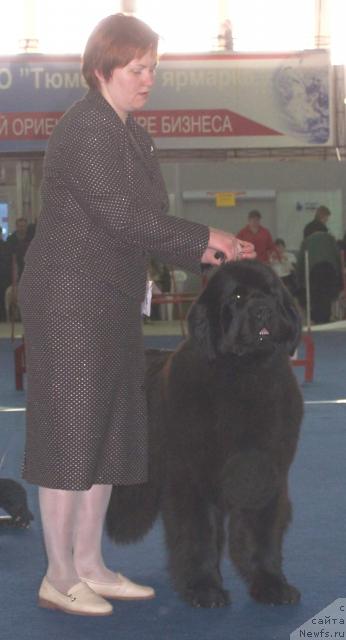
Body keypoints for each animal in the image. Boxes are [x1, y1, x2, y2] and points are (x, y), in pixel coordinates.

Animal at [107, 262, 302, 608]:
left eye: (272, 294)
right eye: (237, 296)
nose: (263, 311)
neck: (242, 377)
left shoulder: (265, 471)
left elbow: (262, 534)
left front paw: (271, 584)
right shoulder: (191, 477)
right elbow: (199, 534)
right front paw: (204, 589)